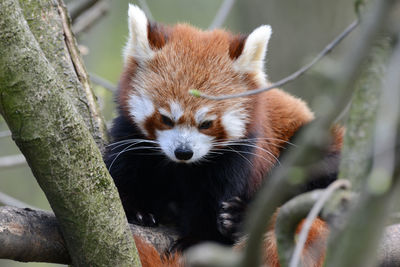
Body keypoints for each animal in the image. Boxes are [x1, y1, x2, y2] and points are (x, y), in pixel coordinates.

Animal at [104, 4, 344, 267]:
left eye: (206, 123)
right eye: (166, 119)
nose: (183, 152)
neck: (180, 168)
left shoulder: (237, 157)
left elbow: (211, 203)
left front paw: (197, 240)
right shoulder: (130, 137)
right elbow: (121, 173)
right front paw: (136, 207)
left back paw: (239, 217)